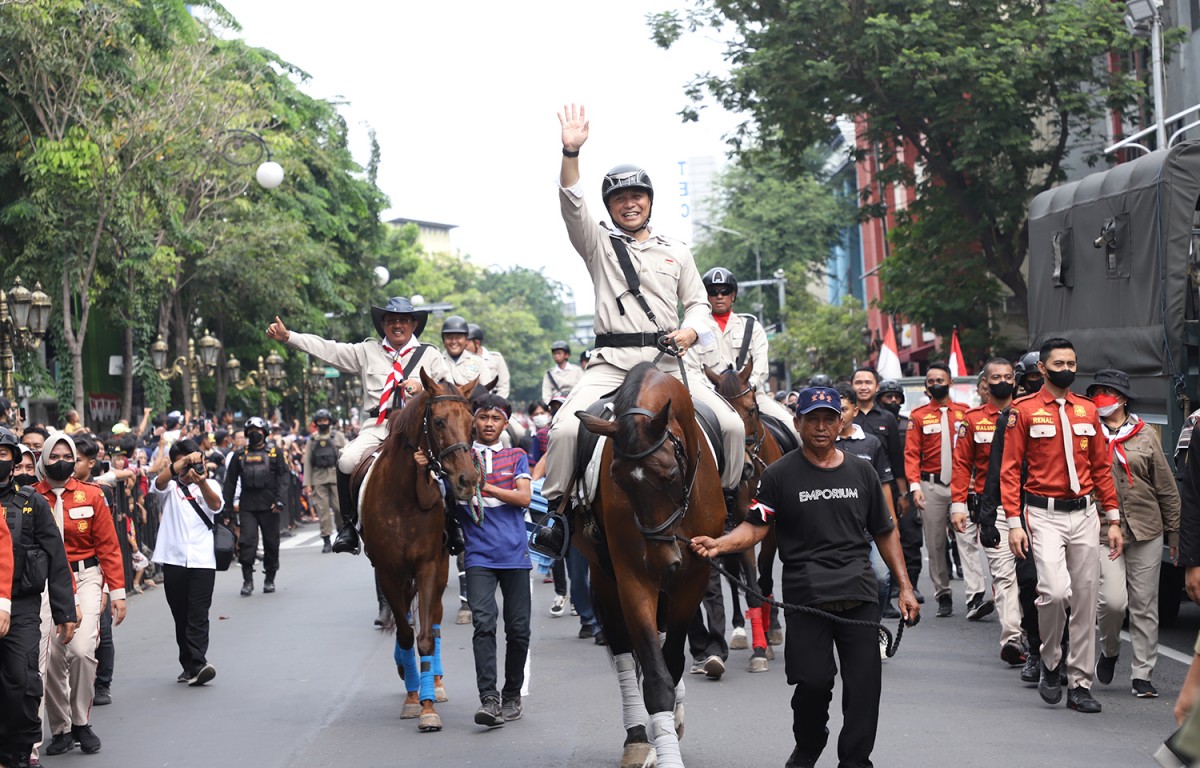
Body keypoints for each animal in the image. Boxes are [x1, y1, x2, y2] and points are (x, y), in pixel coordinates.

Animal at [357, 369, 480, 729]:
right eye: (438, 422)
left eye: (472, 423)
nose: (467, 480)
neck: (403, 497)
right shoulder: (387, 571)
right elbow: (404, 634)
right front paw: (412, 697)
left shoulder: (428, 566)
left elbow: (424, 636)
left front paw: (427, 706)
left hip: (439, 568)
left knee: (435, 621)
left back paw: (435, 683)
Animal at [578, 362, 724, 768]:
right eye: (617, 480)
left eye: (669, 474)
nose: (662, 560)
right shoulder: (633, 577)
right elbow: (656, 677)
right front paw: (662, 749)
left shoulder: (693, 577)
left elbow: (670, 662)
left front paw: (671, 725)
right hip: (605, 577)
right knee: (625, 655)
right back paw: (639, 739)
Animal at [700, 360, 787, 667]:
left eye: (751, 409)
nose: (746, 466)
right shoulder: (737, 528)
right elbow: (747, 586)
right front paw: (758, 648)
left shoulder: (771, 530)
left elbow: (763, 580)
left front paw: (768, 638)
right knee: (732, 574)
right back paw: (739, 629)